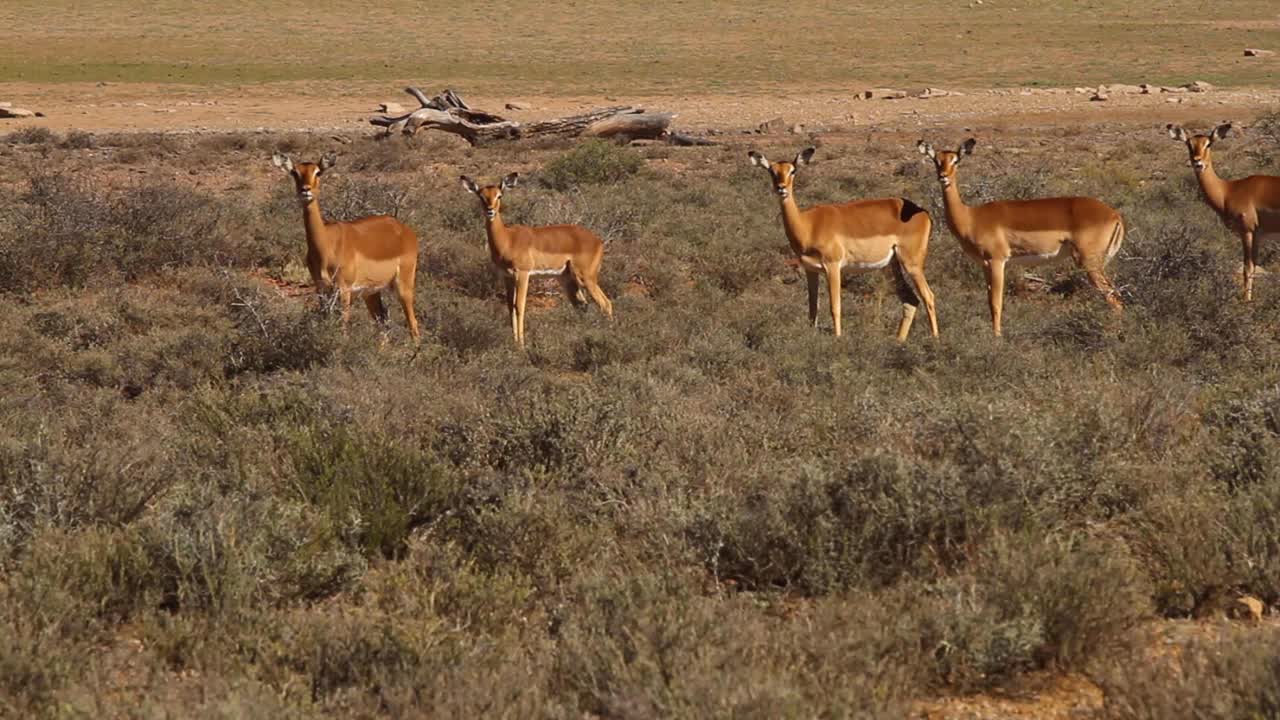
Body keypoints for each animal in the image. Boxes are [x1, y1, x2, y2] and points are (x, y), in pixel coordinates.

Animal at [271, 152, 421, 341]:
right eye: (294, 172)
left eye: (318, 172)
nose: (305, 190)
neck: (326, 245)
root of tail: (405, 231)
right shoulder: (321, 289)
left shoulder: (344, 290)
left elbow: (343, 328)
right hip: (371, 292)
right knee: (382, 321)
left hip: (403, 286)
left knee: (413, 324)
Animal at [460, 172, 613, 347]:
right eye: (481, 196)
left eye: (499, 195)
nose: (490, 211)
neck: (508, 239)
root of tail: (598, 241)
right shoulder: (507, 277)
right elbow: (509, 307)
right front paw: (514, 343)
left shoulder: (523, 274)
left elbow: (519, 307)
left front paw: (521, 346)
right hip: (567, 279)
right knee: (583, 306)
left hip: (586, 278)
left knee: (606, 304)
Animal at [748, 147, 938, 341]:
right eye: (771, 171)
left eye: (793, 170)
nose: (782, 188)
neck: (808, 225)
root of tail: (922, 212)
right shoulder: (810, 269)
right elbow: (812, 308)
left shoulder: (832, 266)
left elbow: (835, 307)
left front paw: (837, 339)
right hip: (891, 266)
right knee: (910, 300)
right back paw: (899, 341)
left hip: (911, 263)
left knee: (928, 296)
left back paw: (935, 340)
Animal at [918, 139, 1124, 336]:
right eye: (936, 160)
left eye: (956, 160)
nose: (943, 176)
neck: (971, 218)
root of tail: (1115, 215)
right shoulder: (985, 265)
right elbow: (989, 302)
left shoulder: (997, 261)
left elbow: (996, 303)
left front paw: (997, 338)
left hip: (1089, 263)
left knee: (1113, 297)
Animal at [1167, 122, 1280, 301]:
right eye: (1189, 144)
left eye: (1208, 144)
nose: (1198, 162)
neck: (1228, 191)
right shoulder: (1257, 236)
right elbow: (1253, 267)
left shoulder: (1247, 232)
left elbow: (1247, 269)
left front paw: (1246, 301)